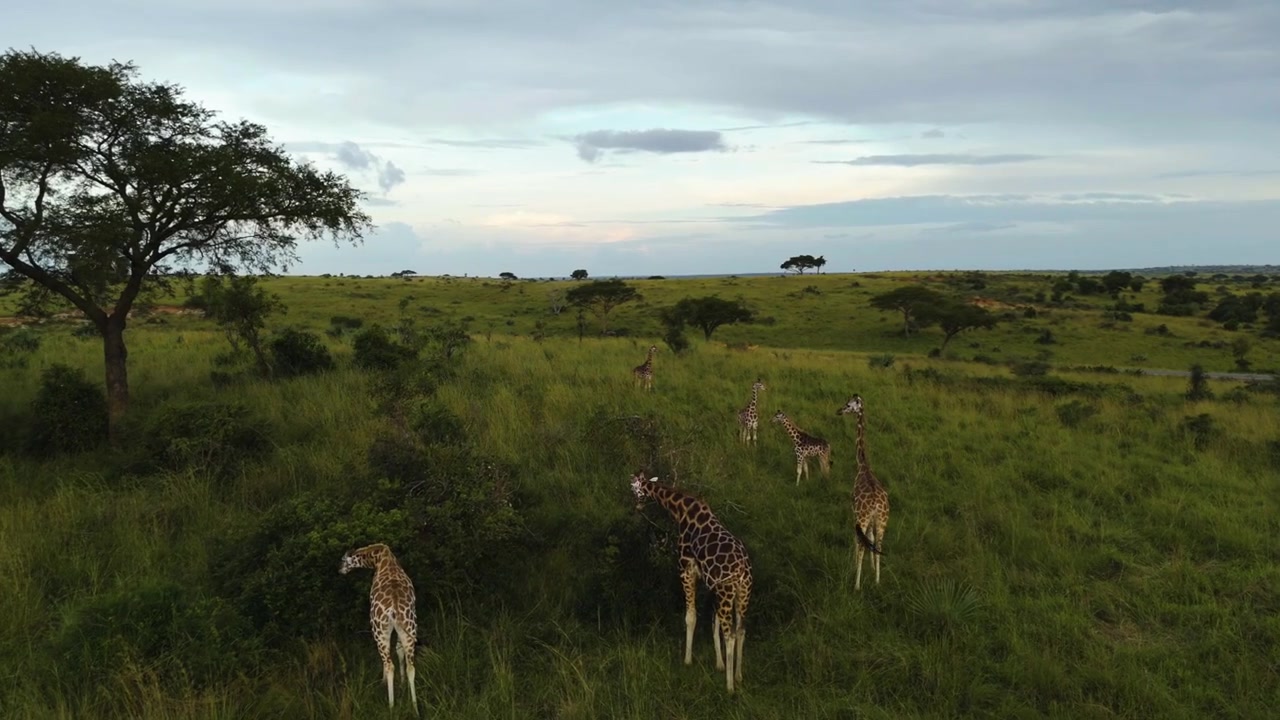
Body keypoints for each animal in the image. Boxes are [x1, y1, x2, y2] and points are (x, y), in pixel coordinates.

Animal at [339, 543, 420, 714]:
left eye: (343, 559)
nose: (340, 570)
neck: (379, 558)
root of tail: (394, 607)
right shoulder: (400, 629)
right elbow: (399, 650)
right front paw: (403, 684)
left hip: (379, 629)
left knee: (389, 665)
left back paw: (391, 706)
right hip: (409, 626)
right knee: (411, 666)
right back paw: (415, 708)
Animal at [627, 471, 753, 693]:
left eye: (634, 489)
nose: (637, 506)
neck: (681, 509)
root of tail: (742, 571)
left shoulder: (686, 570)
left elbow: (691, 617)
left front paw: (687, 661)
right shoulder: (709, 581)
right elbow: (714, 621)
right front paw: (719, 664)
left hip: (727, 592)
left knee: (730, 634)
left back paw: (729, 687)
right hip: (742, 593)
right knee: (740, 630)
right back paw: (738, 675)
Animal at [836, 394, 890, 590]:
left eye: (848, 405)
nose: (839, 411)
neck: (862, 465)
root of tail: (875, 504)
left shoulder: (855, 513)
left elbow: (859, 542)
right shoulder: (874, 521)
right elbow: (871, 541)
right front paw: (872, 569)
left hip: (863, 518)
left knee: (860, 546)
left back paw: (857, 585)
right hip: (882, 521)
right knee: (879, 545)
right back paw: (877, 581)